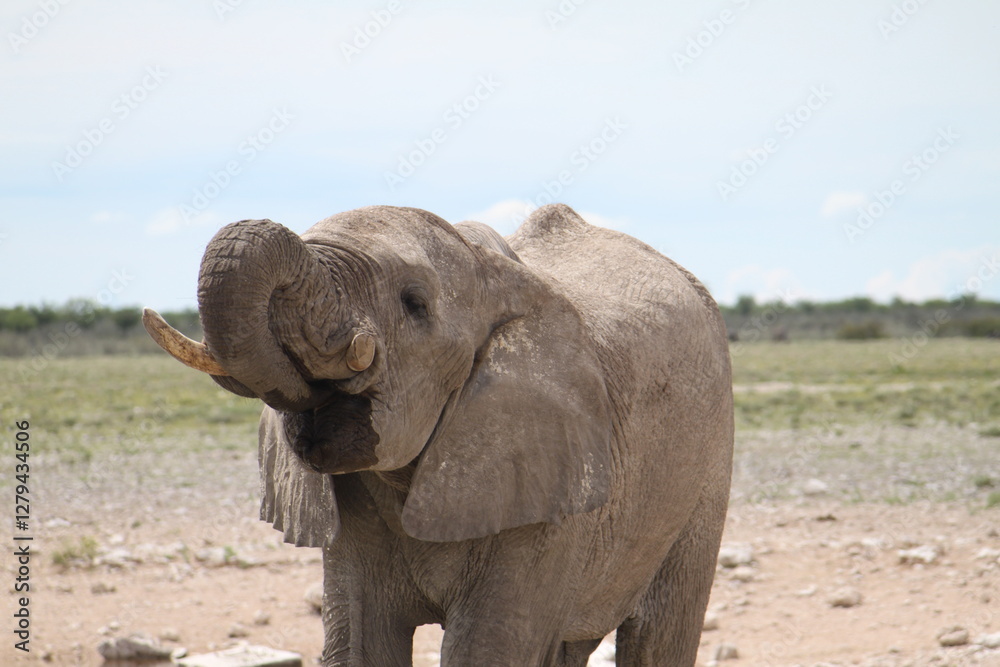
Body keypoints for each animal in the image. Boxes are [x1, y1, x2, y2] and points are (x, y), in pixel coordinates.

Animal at [144, 203, 733, 666]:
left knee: (660, 635)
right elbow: (359, 644)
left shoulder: (551, 489)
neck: (493, 274)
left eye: (414, 304)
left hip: (707, 467)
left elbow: (487, 651)